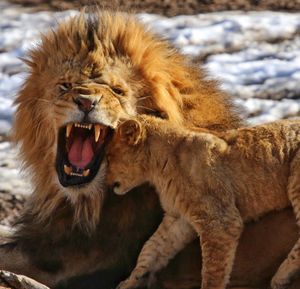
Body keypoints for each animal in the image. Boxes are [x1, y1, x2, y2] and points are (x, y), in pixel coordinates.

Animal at [105, 116, 300, 288]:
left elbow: (213, 270)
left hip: (295, 182)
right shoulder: (178, 218)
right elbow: (151, 249)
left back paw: (282, 276)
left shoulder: (220, 222)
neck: (159, 167)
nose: (106, 183)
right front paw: (129, 282)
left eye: (108, 157)